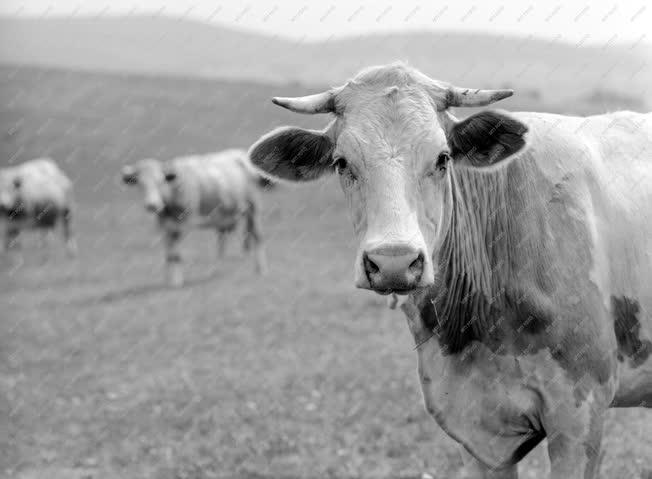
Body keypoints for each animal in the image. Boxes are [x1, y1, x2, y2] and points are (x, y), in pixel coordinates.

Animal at [121, 149, 266, 284]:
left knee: (257, 237)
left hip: (253, 208)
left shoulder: (183, 224)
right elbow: (169, 254)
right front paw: (169, 280)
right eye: (140, 184)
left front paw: (176, 282)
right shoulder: (166, 227)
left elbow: (176, 255)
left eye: (160, 181)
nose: (152, 205)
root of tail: (238, 153)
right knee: (225, 240)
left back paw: (260, 270)